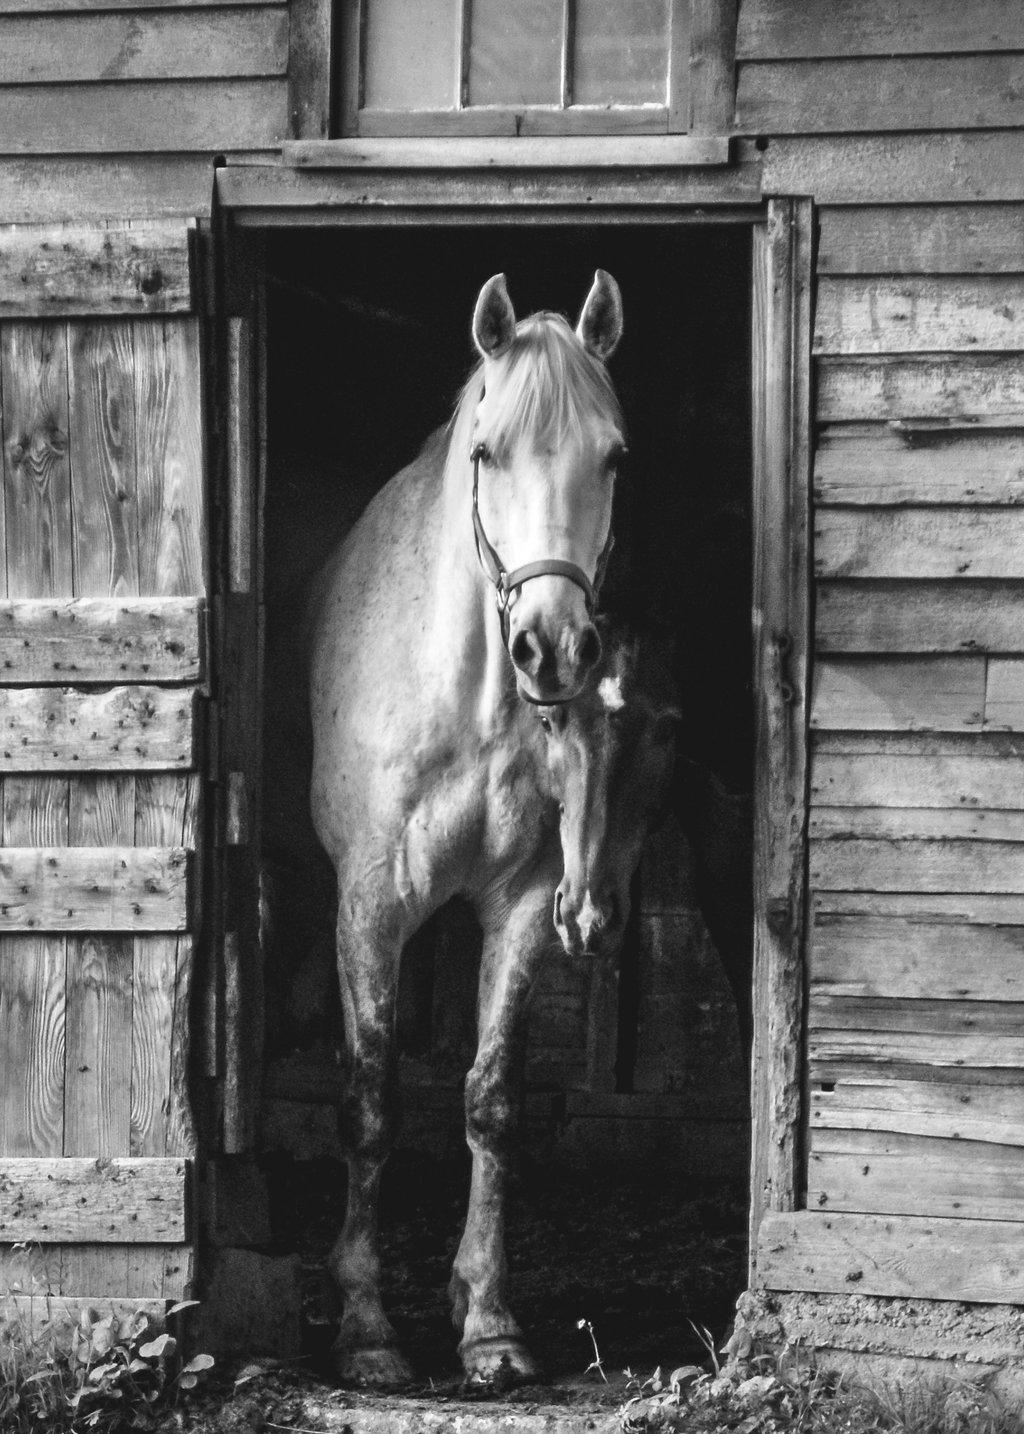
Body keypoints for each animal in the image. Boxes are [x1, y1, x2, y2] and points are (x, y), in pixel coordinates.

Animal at [307, 271, 629, 1385]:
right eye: (487, 452)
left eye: (612, 455)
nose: (554, 648)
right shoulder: (368, 905)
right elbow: (369, 1099)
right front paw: (365, 1327)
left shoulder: (523, 905)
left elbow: (490, 1104)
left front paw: (487, 1321)